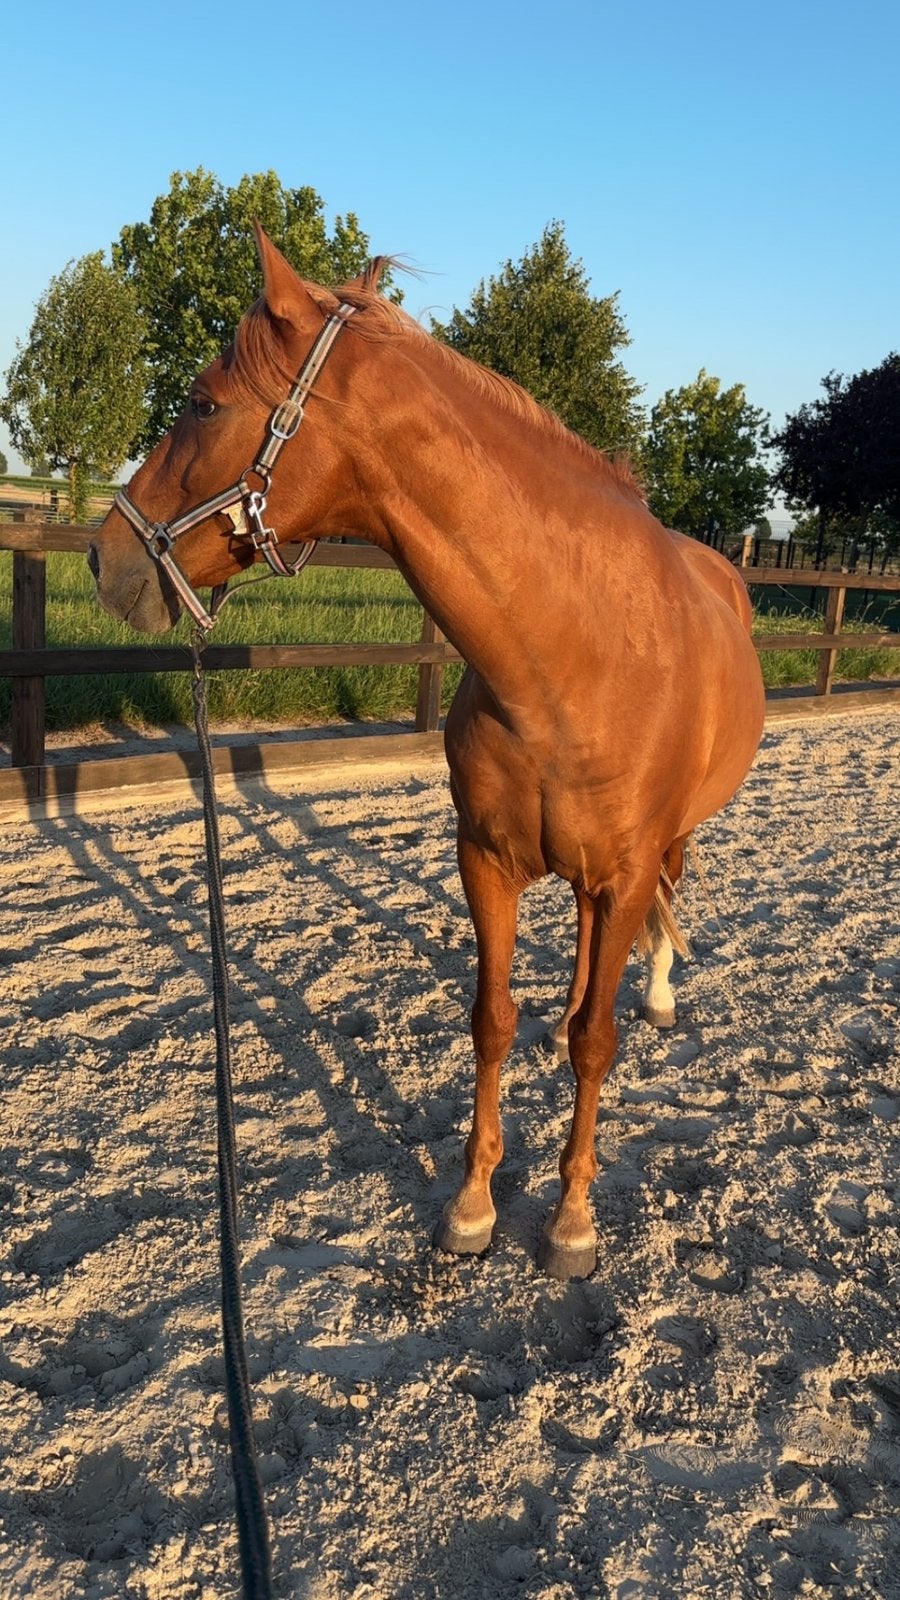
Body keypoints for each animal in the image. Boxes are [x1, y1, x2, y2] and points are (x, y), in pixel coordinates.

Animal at [89, 225, 765, 1280]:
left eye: (203, 402)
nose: (105, 559)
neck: (572, 658)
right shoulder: (485, 860)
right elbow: (492, 1022)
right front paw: (474, 1205)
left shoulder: (622, 870)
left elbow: (598, 1043)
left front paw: (571, 1220)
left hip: (669, 843)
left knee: (659, 916)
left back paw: (655, 993)